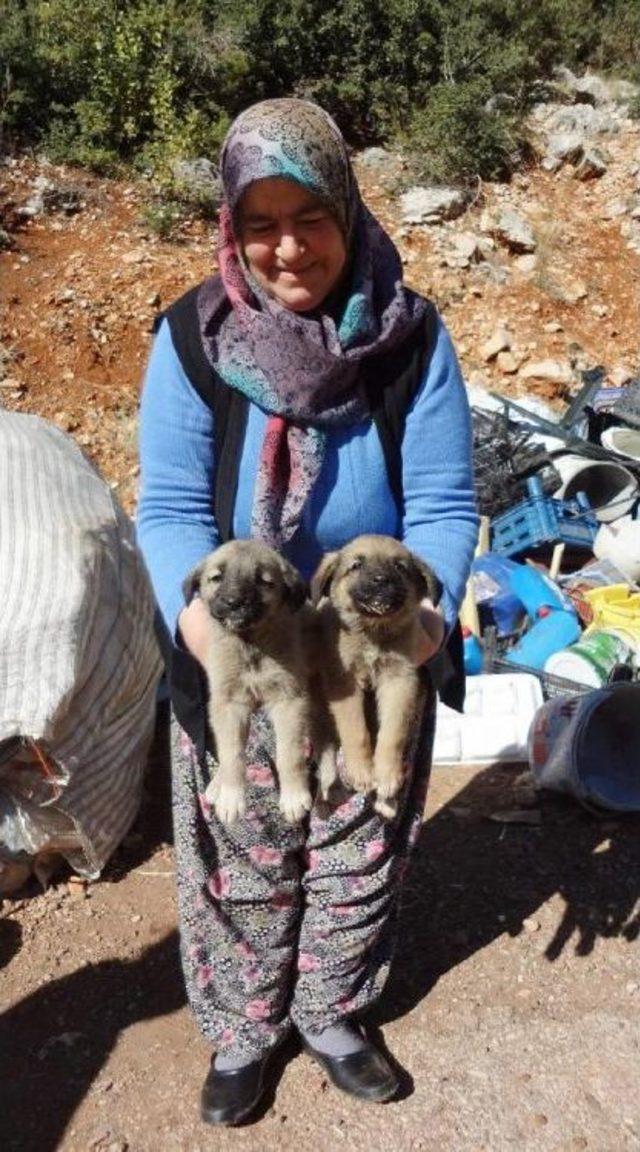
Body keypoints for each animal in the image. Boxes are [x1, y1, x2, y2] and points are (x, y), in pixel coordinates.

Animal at [180, 541, 320, 829]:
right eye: (216, 577)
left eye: (264, 581)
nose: (234, 602)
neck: (250, 645)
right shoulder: (228, 703)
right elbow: (232, 753)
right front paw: (230, 797)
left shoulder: (290, 699)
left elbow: (289, 753)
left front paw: (293, 796)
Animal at [313, 534, 442, 815]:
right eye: (356, 565)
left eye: (400, 567)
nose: (381, 580)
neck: (373, 632)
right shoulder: (343, 683)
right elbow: (355, 731)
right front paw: (361, 770)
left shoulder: (399, 682)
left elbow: (392, 734)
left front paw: (388, 776)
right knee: (326, 751)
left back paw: (386, 802)